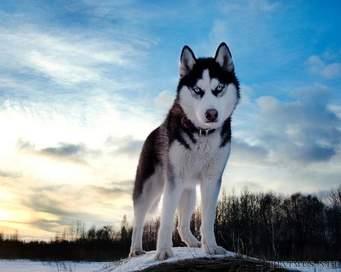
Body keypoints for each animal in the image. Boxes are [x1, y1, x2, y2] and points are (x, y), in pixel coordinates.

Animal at [128, 42, 239, 260]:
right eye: (197, 89)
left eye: (219, 88)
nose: (211, 114)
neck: (202, 134)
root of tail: (152, 133)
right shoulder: (174, 180)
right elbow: (165, 220)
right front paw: (163, 251)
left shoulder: (212, 180)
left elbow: (208, 219)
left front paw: (211, 246)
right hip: (149, 189)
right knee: (139, 221)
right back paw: (135, 249)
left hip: (188, 192)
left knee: (182, 224)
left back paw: (193, 242)